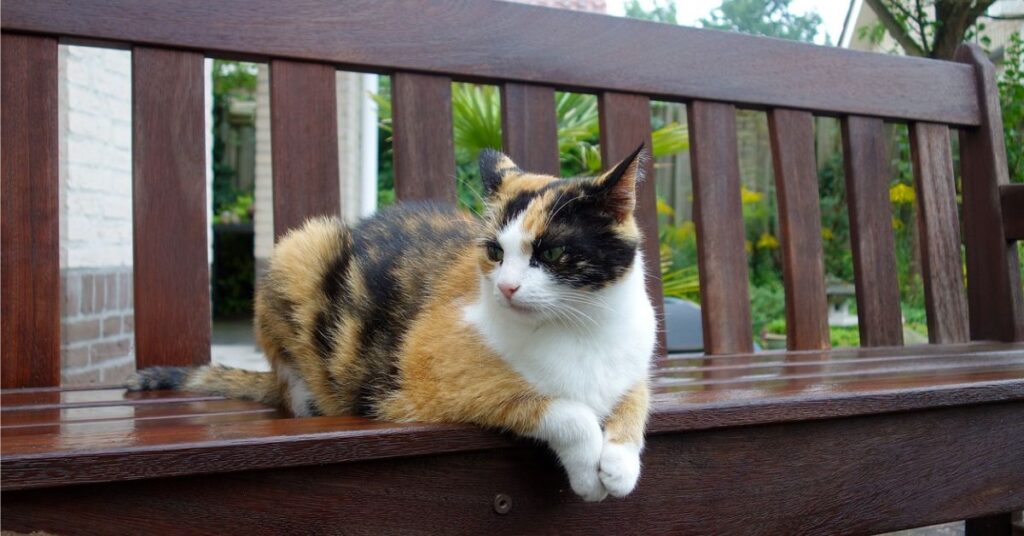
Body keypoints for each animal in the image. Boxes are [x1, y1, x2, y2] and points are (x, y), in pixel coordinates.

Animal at [128, 145, 655, 500]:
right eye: (494, 251)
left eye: (555, 252)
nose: (506, 288)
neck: (580, 328)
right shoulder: (435, 375)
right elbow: (567, 412)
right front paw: (589, 473)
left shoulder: (633, 364)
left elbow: (635, 399)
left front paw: (620, 463)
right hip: (301, 247)